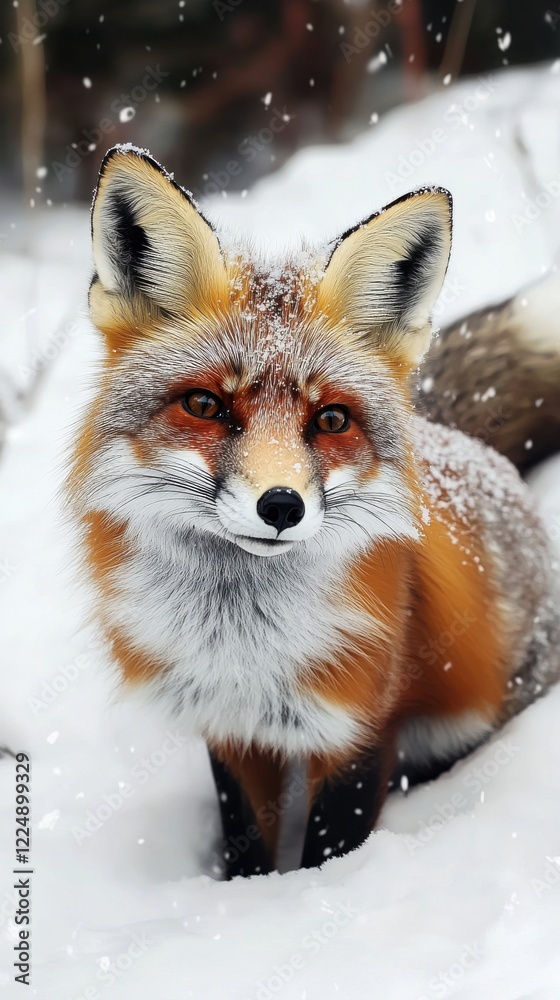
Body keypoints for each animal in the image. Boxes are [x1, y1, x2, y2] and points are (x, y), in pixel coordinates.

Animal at [69, 144, 560, 878]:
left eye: (330, 419)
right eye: (206, 405)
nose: (281, 505)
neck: (242, 643)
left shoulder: (360, 726)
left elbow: (332, 844)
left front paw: (312, 892)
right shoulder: (234, 729)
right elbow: (247, 840)